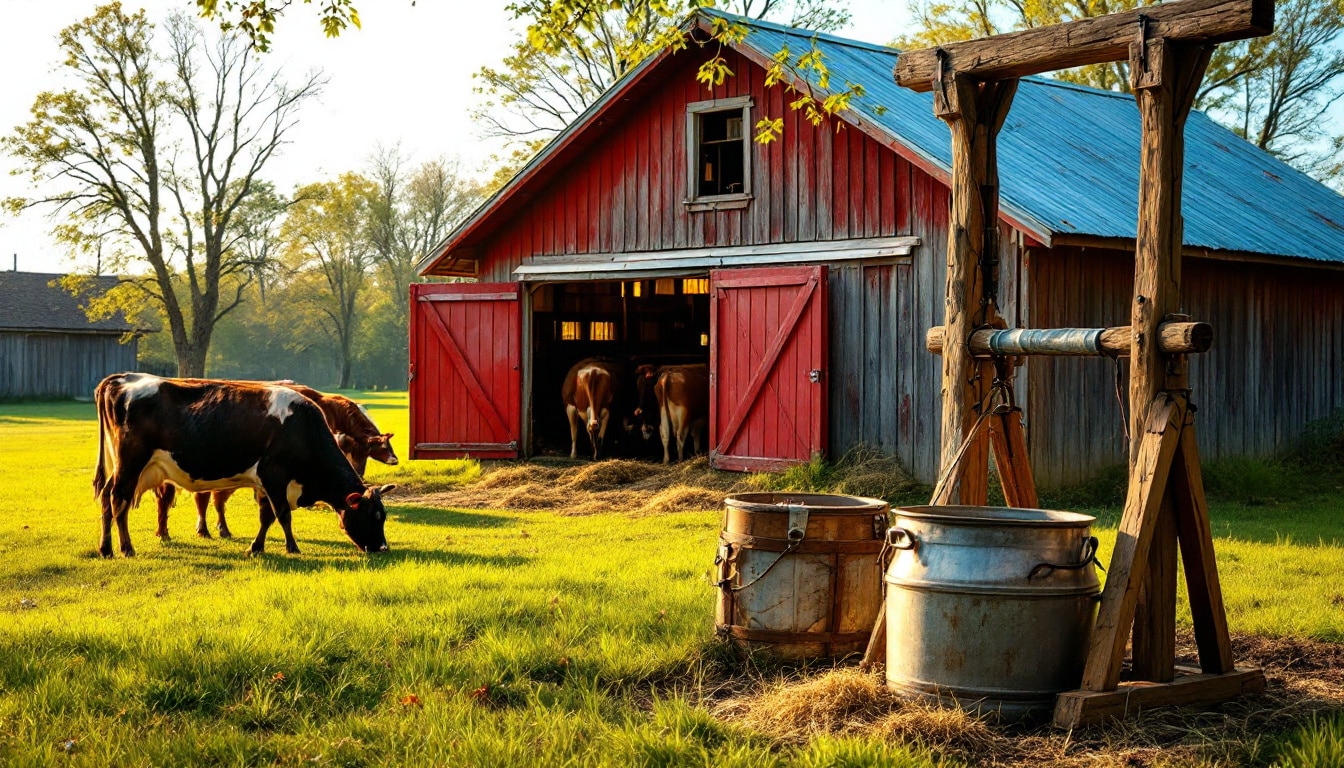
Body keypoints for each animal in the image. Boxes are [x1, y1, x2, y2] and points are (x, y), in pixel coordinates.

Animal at [158, 384, 397, 540]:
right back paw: (186, 530)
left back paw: (217, 530)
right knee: (193, 498)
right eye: (383, 447)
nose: (394, 459)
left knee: (214, 499)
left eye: (369, 452)